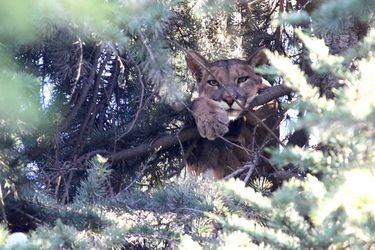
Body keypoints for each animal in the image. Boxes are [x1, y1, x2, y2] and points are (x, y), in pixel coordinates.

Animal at [186, 48, 280, 180]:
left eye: (242, 79)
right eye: (213, 82)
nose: (229, 99)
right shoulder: (193, 162)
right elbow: (198, 100)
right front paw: (211, 121)